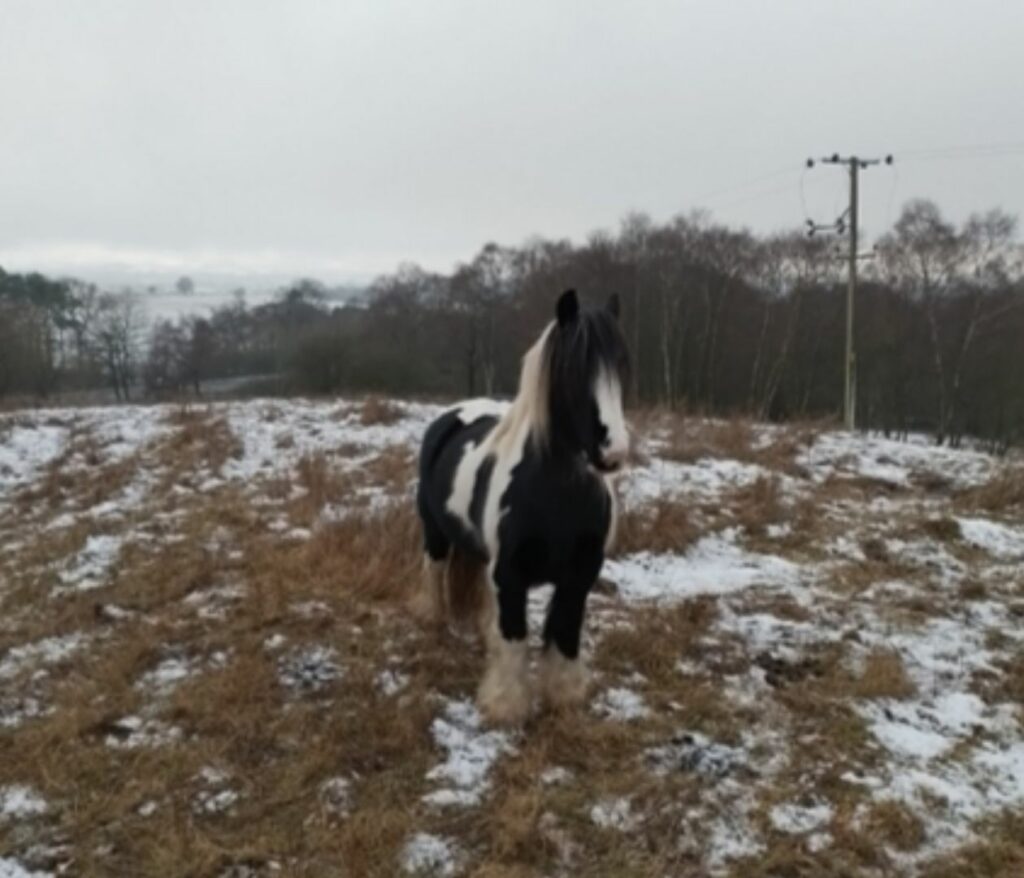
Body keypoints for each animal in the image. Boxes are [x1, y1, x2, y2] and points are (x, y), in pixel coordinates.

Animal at [411, 290, 626, 721]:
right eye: (573, 368)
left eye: (622, 362)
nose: (614, 451)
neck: (555, 496)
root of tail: (451, 415)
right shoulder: (510, 573)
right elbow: (514, 638)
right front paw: (506, 707)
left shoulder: (579, 575)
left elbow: (564, 634)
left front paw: (565, 697)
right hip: (436, 535)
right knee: (436, 574)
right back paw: (434, 619)